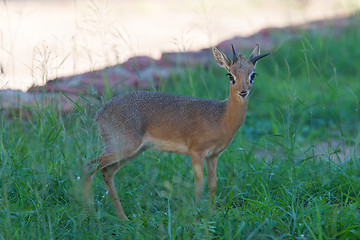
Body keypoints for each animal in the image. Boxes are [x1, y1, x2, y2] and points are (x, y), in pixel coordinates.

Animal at [83, 43, 268, 219]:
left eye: (253, 74)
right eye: (230, 75)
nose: (243, 91)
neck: (221, 116)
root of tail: (99, 114)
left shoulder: (213, 156)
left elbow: (213, 186)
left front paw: (212, 215)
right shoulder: (196, 152)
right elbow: (199, 186)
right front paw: (198, 217)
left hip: (132, 152)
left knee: (106, 172)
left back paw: (123, 218)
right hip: (123, 148)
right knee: (88, 166)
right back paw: (90, 214)